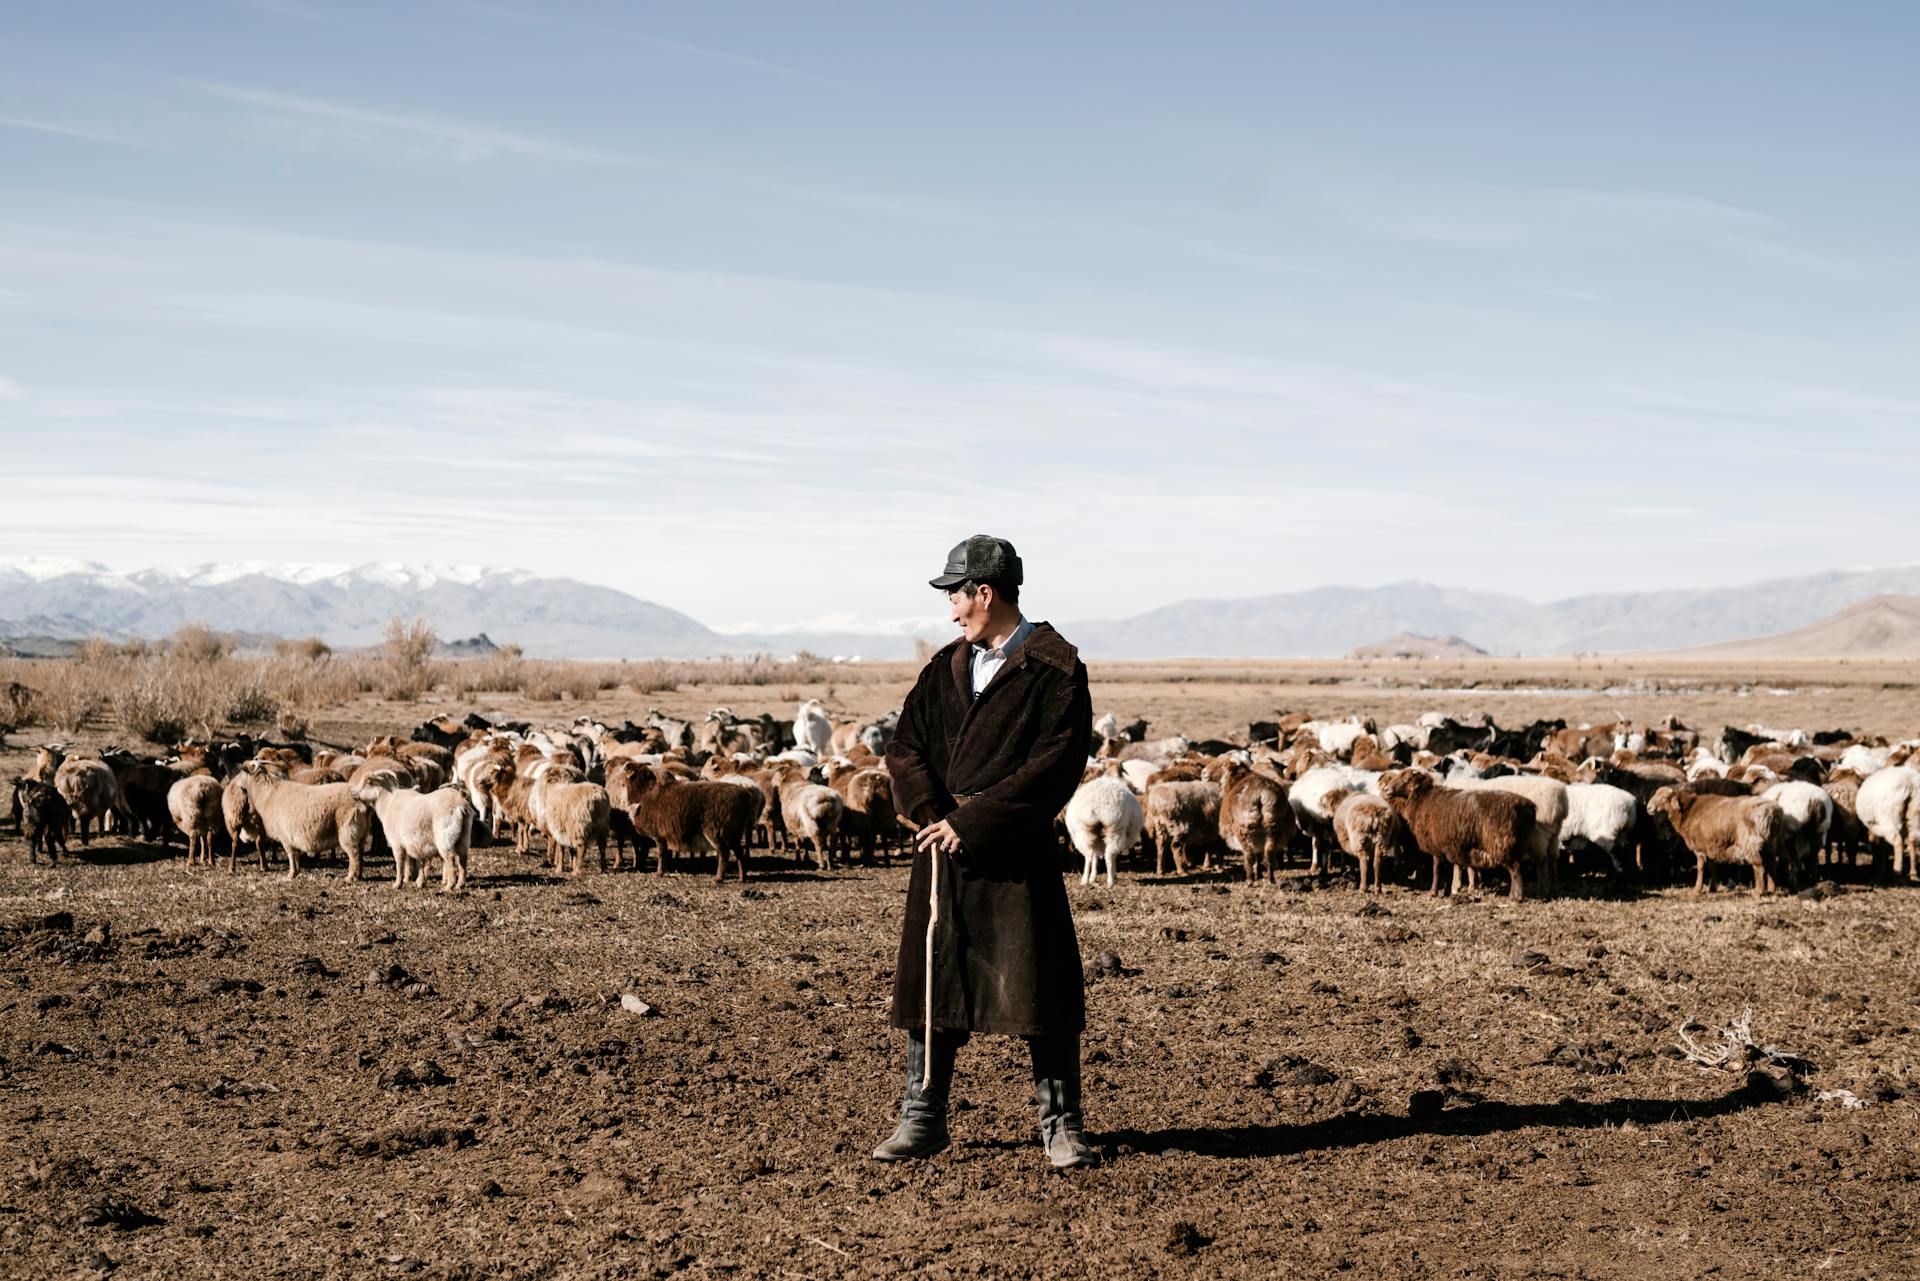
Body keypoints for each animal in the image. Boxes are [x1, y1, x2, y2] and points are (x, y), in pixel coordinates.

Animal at [226, 760, 376, 883]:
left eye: (242, 772)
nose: (233, 784)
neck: (267, 794)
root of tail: (362, 802)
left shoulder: (286, 836)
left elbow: (291, 856)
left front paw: (291, 875)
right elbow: (296, 856)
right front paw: (296, 872)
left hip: (348, 831)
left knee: (354, 855)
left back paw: (350, 877)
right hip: (361, 833)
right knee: (360, 854)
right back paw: (359, 876)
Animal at [1382, 772, 1528, 902]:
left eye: (1406, 778)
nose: (1386, 789)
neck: (1424, 800)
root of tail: (1525, 807)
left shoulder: (1436, 846)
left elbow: (1437, 870)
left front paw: (1433, 893)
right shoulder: (1445, 845)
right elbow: (1447, 871)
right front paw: (1447, 892)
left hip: (1501, 844)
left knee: (1515, 870)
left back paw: (1517, 897)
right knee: (1516, 869)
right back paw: (1512, 895)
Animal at [1643, 787, 1789, 898]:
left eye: (1664, 798)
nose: (1648, 808)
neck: (1687, 811)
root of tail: (1772, 812)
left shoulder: (1700, 846)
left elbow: (1701, 868)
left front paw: (1697, 889)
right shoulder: (1712, 844)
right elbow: (1713, 866)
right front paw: (1712, 888)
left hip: (1749, 841)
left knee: (1758, 865)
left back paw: (1759, 891)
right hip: (1771, 841)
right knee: (1772, 864)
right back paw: (1771, 890)